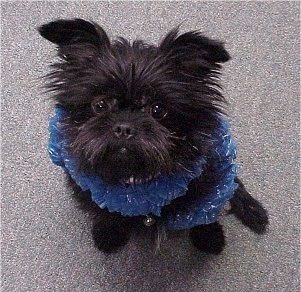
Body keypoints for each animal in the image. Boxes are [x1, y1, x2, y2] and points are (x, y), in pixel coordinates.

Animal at [38, 19, 268, 254]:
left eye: (157, 110)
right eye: (100, 105)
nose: (124, 127)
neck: (136, 178)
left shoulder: (209, 188)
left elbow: (206, 216)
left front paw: (209, 236)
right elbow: (107, 213)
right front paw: (108, 232)